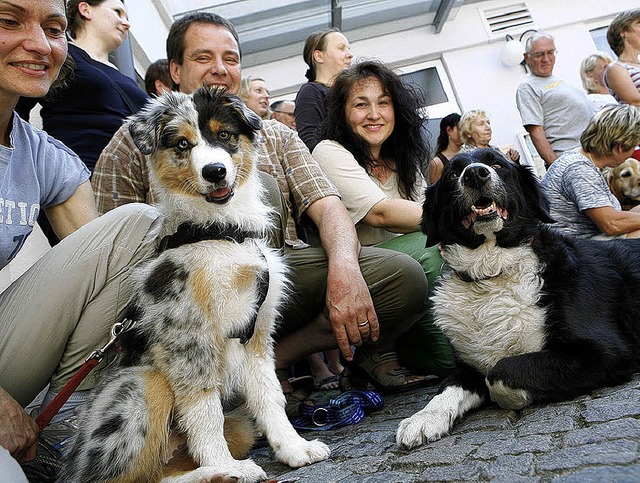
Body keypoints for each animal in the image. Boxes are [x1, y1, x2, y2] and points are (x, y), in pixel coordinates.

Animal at [60, 88, 330, 483]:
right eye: (182, 144)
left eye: (224, 135)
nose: (214, 171)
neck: (222, 233)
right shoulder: (188, 337)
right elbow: (205, 411)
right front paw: (226, 463)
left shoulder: (258, 333)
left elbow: (269, 395)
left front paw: (295, 448)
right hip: (146, 383)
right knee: (117, 477)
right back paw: (223, 471)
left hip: (239, 427)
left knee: (160, 472)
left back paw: (212, 474)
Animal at [396, 150, 640, 450]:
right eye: (453, 173)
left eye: (497, 163)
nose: (475, 174)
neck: (491, 273)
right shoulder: (467, 369)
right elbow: (447, 389)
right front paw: (423, 418)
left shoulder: (605, 351)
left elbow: (500, 373)